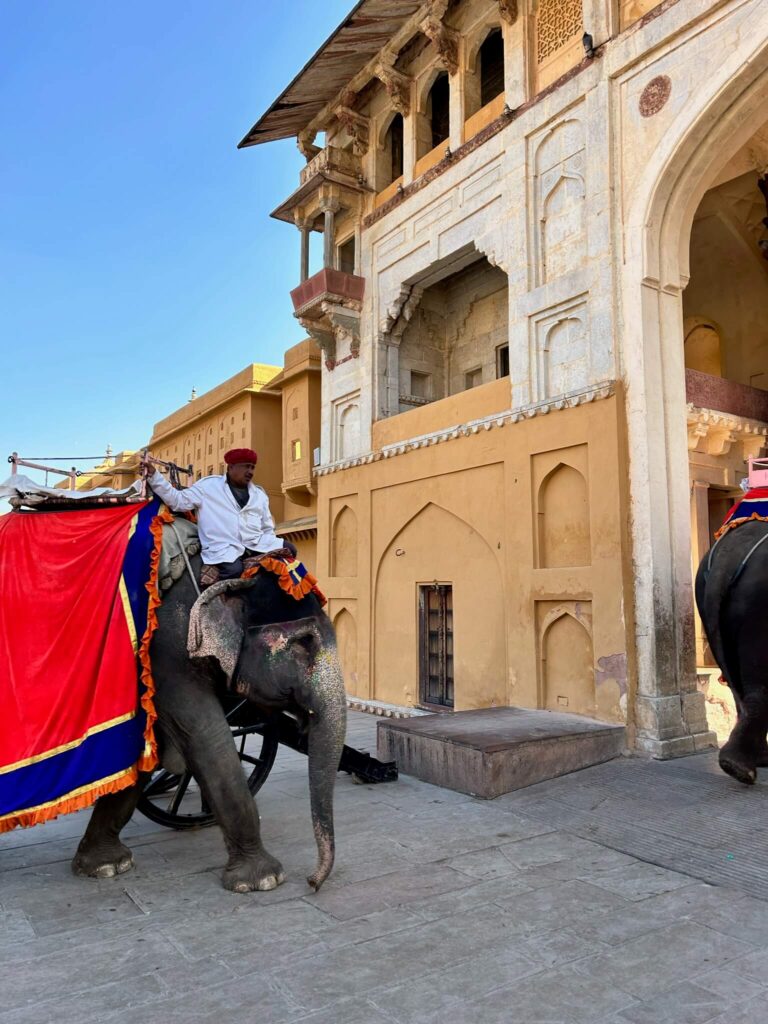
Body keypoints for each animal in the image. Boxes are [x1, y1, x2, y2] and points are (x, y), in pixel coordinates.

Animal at [71, 554, 347, 892]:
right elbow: (206, 737)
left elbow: (144, 754)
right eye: (304, 643)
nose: (312, 882)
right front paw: (263, 880)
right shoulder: (170, 650)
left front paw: (106, 866)